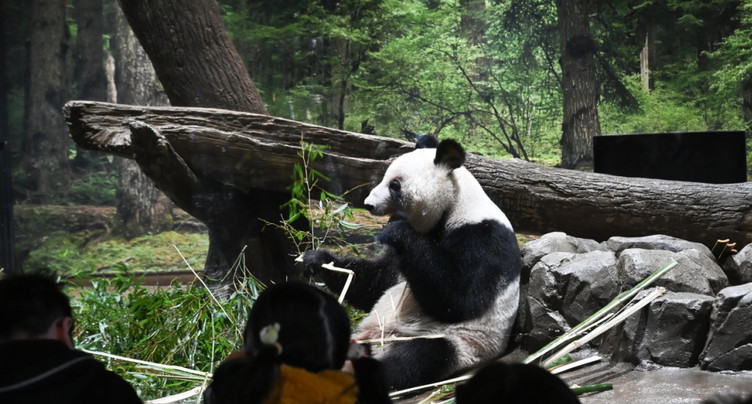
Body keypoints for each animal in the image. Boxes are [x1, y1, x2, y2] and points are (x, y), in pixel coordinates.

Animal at [303, 137, 521, 390]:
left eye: (394, 185)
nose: (368, 204)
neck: (455, 205)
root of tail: (373, 344)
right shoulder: (402, 259)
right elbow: (377, 282)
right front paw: (317, 260)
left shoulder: (484, 237)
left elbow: (460, 299)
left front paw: (395, 230)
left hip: (459, 342)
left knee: (416, 358)